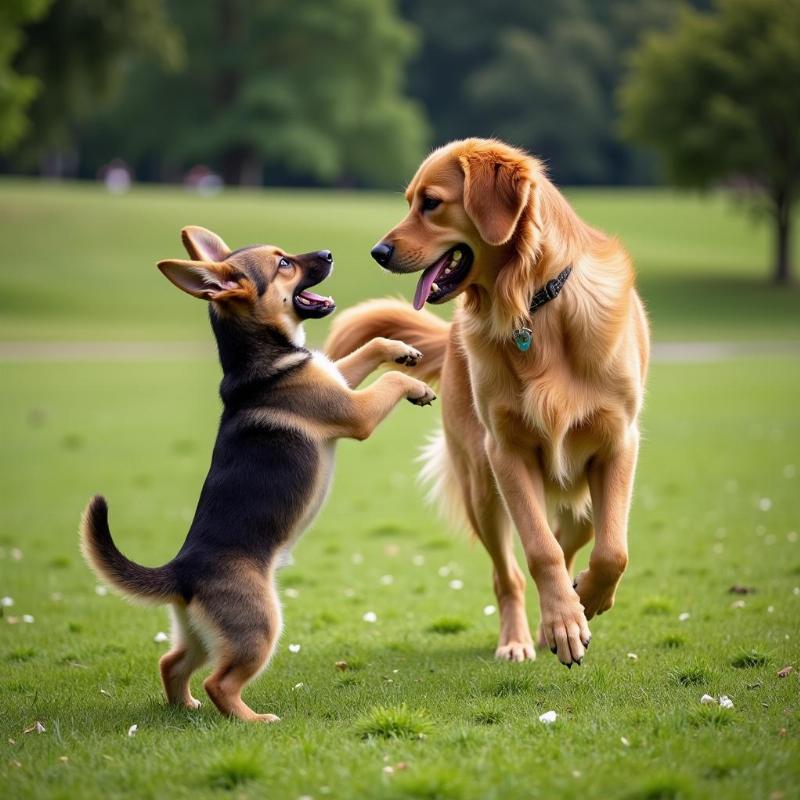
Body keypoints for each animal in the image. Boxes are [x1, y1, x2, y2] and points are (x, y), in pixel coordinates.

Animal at [79, 227, 438, 724]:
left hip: (199, 633)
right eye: (283, 264)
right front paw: (417, 385)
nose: (329, 253)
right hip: (259, 626)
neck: (264, 358)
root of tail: (181, 571)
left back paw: (183, 707)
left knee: (171, 662)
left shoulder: (336, 376)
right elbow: (388, 382)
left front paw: (401, 349)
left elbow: (369, 349)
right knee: (219, 682)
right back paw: (252, 720)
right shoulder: (355, 412)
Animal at [324, 139, 648, 668]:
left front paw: (585, 601)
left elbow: (611, 551)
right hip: (481, 486)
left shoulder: (618, 442)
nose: (378, 252)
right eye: (409, 200)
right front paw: (563, 620)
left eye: (430, 202)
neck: (532, 306)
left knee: (575, 536)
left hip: (575, 494)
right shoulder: (507, 451)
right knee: (509, 573)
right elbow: (539, 550)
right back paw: (522, 637)